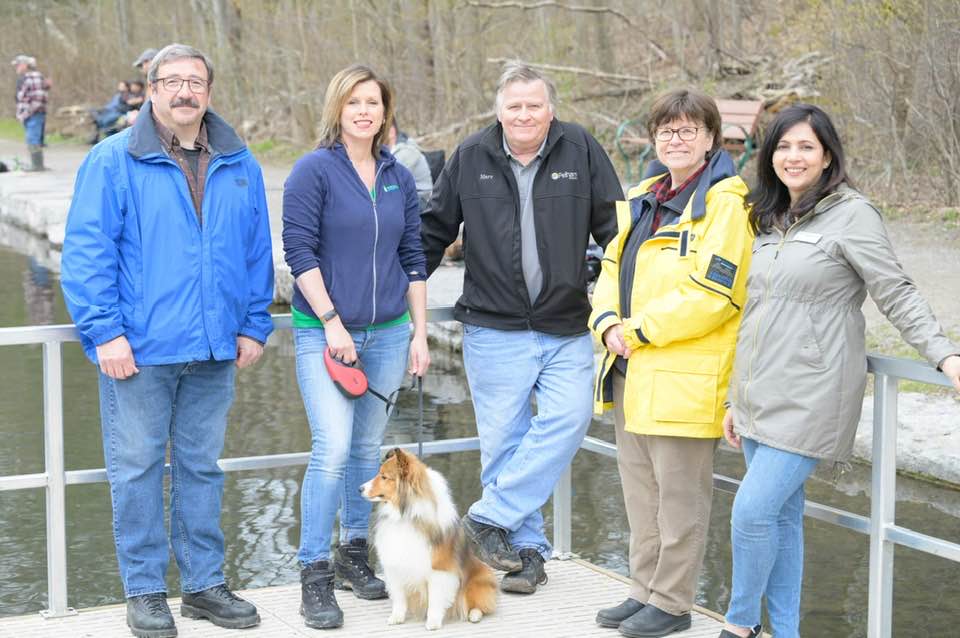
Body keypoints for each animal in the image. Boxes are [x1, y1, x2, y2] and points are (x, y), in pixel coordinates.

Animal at [361, 448, 497, 630]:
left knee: (480, 603)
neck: (406, 514)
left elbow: (435, 598)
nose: (359, 488)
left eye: (384, 476)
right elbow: (399, 597)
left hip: (481, 577)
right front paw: (397, 617)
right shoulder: (395, 564)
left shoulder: (438, 569)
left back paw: (474, 614)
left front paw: (433, 621)